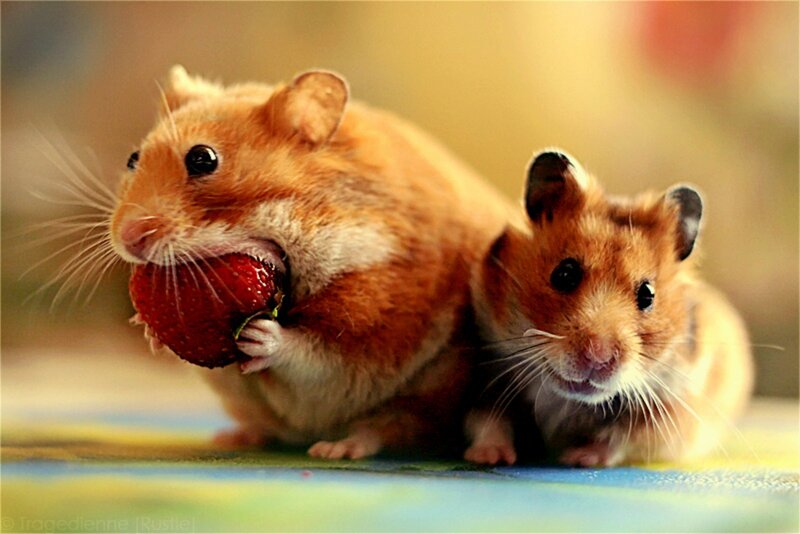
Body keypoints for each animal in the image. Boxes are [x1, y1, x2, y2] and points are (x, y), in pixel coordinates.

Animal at [111, 66, 513, 459]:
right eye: (133, 159)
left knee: (395, 428)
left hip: (436, 394)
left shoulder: (373, 323)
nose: (129, 239)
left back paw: (341, 450)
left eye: (202, 158)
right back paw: (234, 437)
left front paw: (259, 336)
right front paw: (147, 330)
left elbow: (313, 355)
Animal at [466, 150, 753, 466]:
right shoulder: (487, 378)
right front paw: (489, 458)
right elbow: (488, 421)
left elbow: (619, 439)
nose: (598, 357)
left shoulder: (670, 411)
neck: (566, 401)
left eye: (648, 294)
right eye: (564, 274)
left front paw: (576, 458)